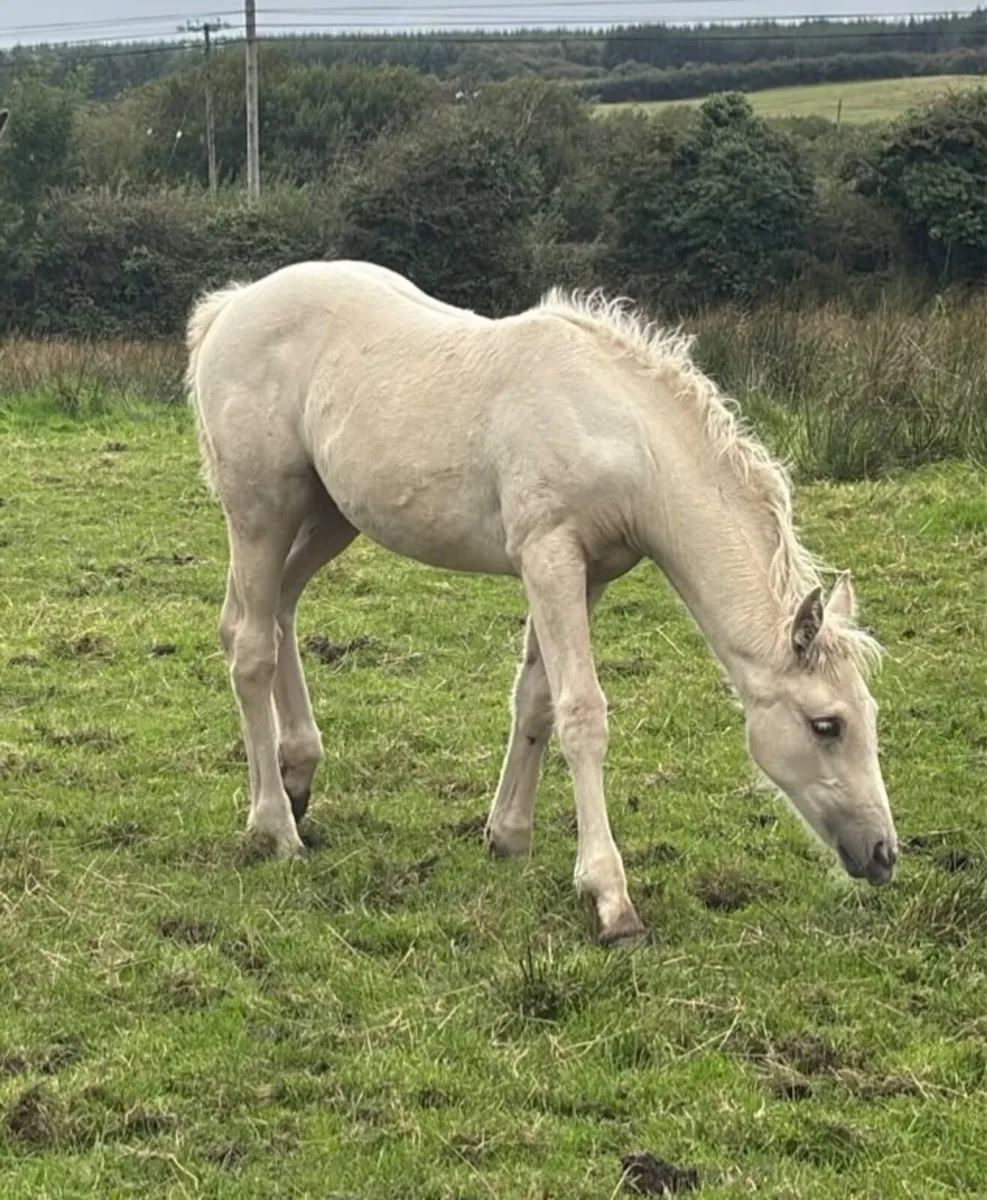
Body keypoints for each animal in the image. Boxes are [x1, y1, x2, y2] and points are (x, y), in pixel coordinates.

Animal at [185, 260, 898, 945]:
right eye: (826, 725)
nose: (883, 853)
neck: (620, 432)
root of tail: (233, 305)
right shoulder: (549, 556)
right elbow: (581, 711)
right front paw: (610, 898)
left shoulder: (591, 573)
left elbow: (538, 699)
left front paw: (508, 836)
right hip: (262, 510)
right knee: (250, 645)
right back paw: (275, 827)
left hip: (330, 514)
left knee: (275, 613)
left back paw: (296, 776)